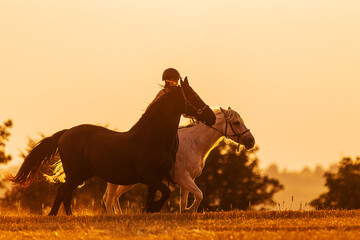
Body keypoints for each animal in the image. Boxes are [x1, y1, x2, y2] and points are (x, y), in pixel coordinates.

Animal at [8, 78, 215, 215]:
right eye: (193, 96)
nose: (212, 117)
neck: (153, 138)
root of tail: (66, 133)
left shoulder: (156, 177)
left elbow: (157, 194)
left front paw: (149, 210)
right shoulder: (147, 176)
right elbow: (165, 192)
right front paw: (153, 208)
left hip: (82, 174)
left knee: (66, 192)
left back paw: (68, 216)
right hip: (75, 173)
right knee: (63, 191)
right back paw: (55, 216)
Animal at [101, 107, 255, 214]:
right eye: (236, 122)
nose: (251, 141)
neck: (195, 143)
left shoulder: (188, 180)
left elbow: (185, 201)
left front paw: (185, 212)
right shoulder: (183, 178)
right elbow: (199, 194)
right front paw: (190, 210)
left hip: (129, 181)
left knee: (114, 197)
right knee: (109, 198)